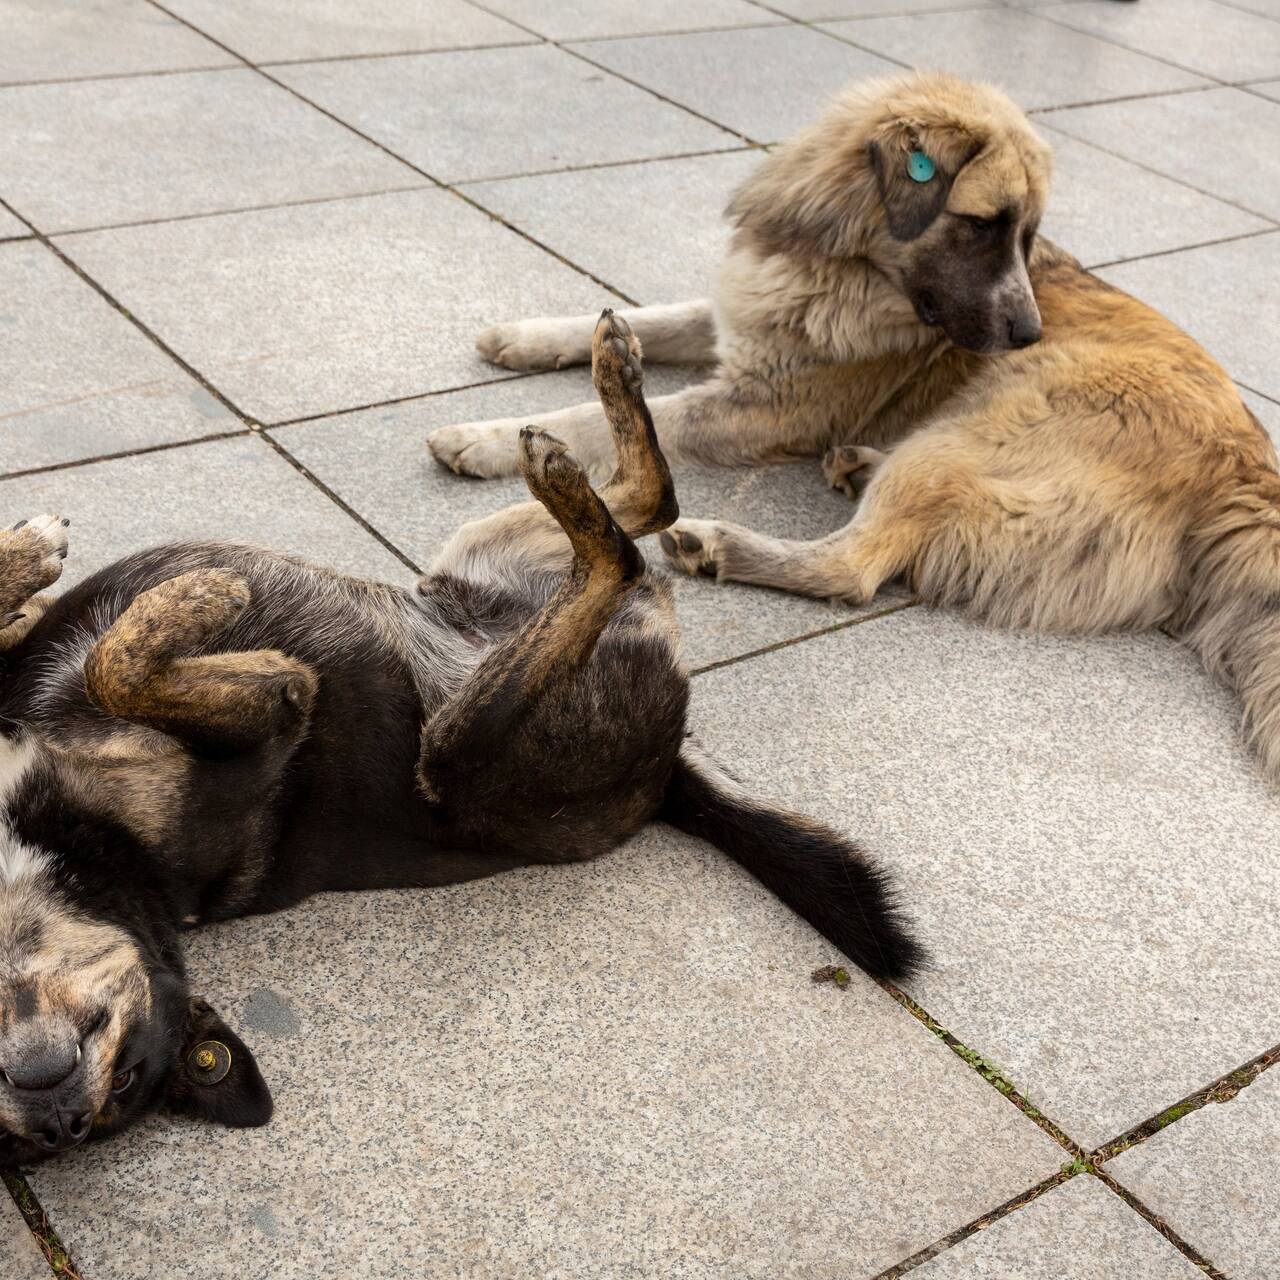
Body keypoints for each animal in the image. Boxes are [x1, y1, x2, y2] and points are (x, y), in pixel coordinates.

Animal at [0, 317, 921, 1162]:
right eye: (128, 1083)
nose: (60, 1113)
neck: (87, 858)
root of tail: (665, 781)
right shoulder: (271, 715)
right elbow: (122, 663)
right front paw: (186, 609)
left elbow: (92, 647)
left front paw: (49, 560)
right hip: (458, 755)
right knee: (624, 549)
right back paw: (573, 458)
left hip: (477, 568)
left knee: (644, 513)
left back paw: (601, 388)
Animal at [430, 77, 1280, 778]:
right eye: (987, 226)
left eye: (1025, 237)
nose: (1030, 333)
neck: (841, 268)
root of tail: (1250, 473)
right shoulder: (741, 321)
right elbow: (649, 319)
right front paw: (527, 337)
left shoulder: (756, 403)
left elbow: (602, 415)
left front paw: (484, 437)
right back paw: (856, 465)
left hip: (959, 437)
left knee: (857, 566)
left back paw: (723, 542)